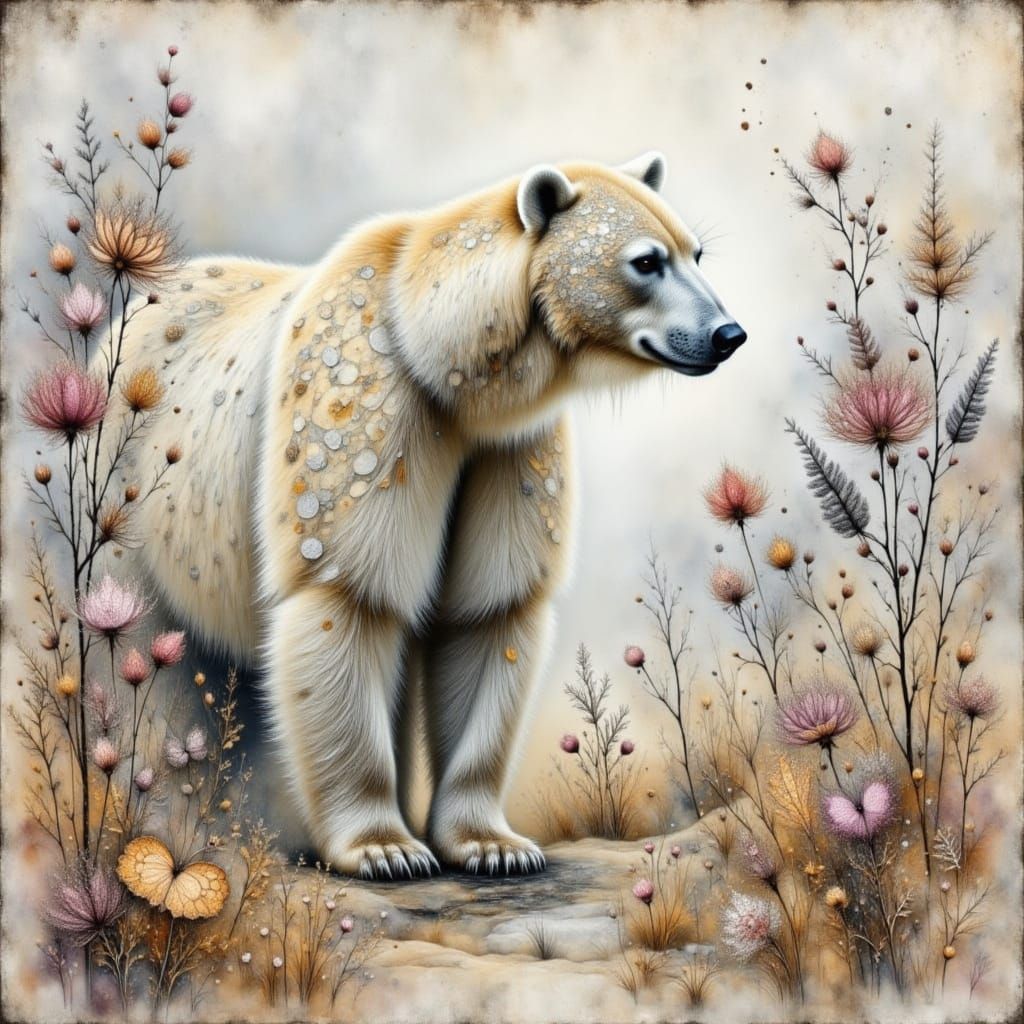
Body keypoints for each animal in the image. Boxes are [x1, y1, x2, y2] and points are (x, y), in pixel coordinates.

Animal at [112, 152, 747, 879]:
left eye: (696, 251)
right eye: (645, 261)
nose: (728, 334)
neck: (448, 359)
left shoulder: (505, 446)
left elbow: (487, 611)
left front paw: (494, 845)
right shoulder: (370, 401)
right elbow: (349, 596)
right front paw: (384, 848)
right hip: (130, 502)